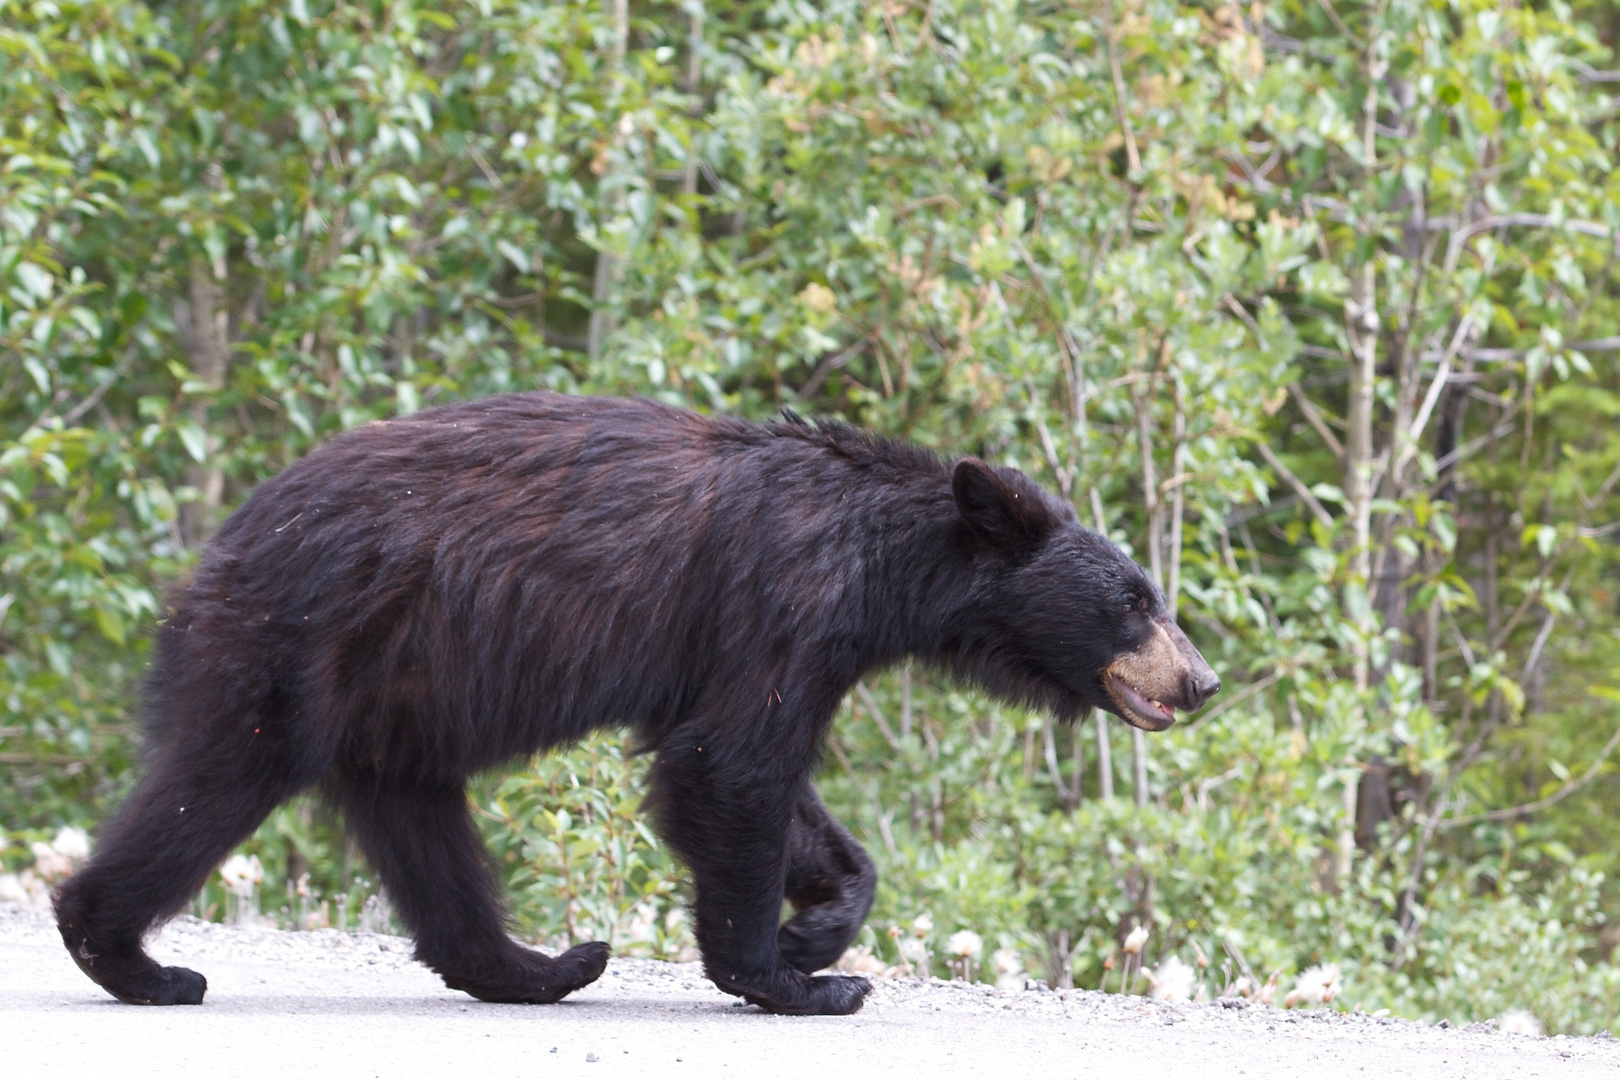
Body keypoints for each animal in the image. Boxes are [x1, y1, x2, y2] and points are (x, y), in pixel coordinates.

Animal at [53, 393, 1218, 1016]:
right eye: (1135, 600)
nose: (1200, 680)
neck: (881, 563)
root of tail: (222, 544)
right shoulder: (783, 601)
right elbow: (730, 770)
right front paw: (795, 979)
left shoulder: (778, 647)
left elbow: (758, 779)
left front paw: (820, 926)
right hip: (293, 650)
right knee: (214, 782)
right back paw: (137, 961)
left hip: (392, 700)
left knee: (424, 832)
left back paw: (541, 964)